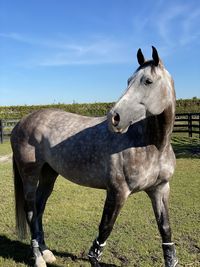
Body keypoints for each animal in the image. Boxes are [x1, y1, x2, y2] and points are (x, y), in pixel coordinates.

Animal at [10, 47, 178, 266]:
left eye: (147, 81)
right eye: (128, 80)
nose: (114, 117)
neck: (151, 144)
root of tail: (20, 123)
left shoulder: (159, 189)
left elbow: (165, 230)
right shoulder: (117, 192)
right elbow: (105, 229)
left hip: (49, 174)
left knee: (39, 208)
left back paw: (46, 252)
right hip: (30, 175)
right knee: (30, 211)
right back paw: (39, 258)